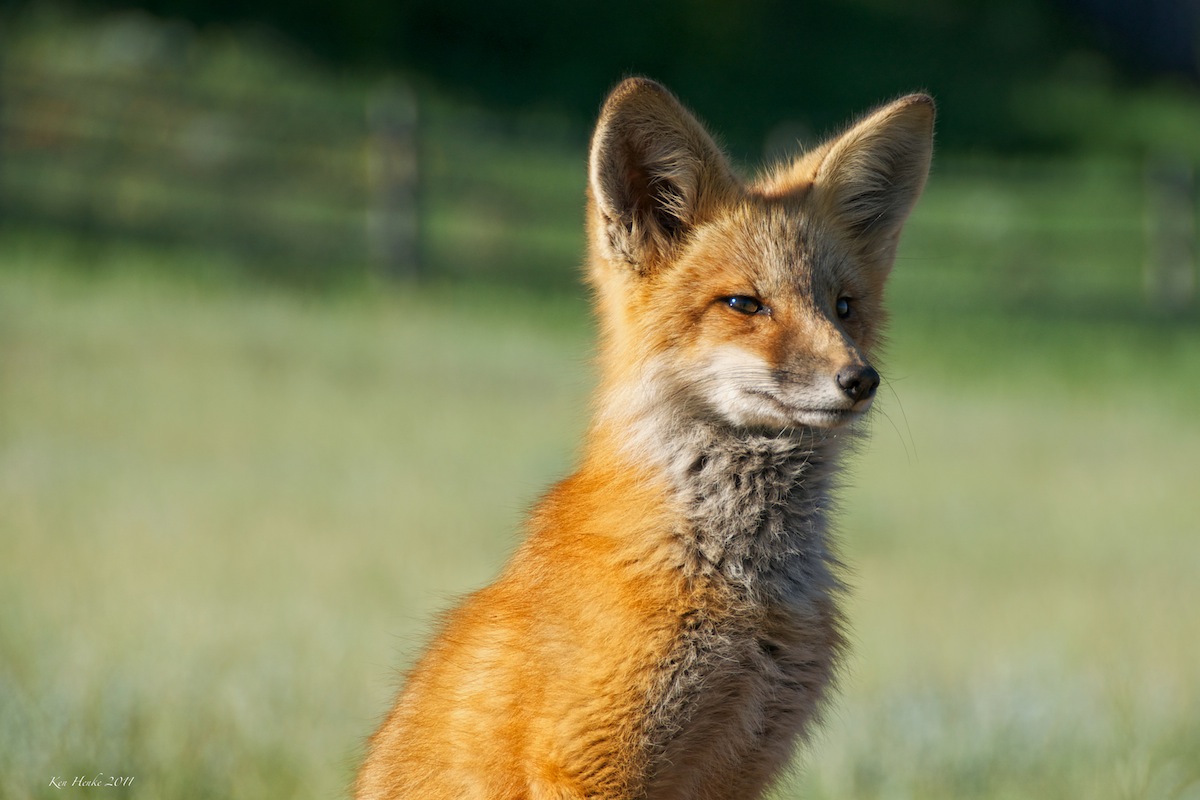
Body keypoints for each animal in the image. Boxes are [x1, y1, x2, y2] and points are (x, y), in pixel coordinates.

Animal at [355, 77, 934, 800]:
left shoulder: (742, 765)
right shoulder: (589, 764)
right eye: (745, 304)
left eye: (844, 307)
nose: (860, 379)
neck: (743, 591)